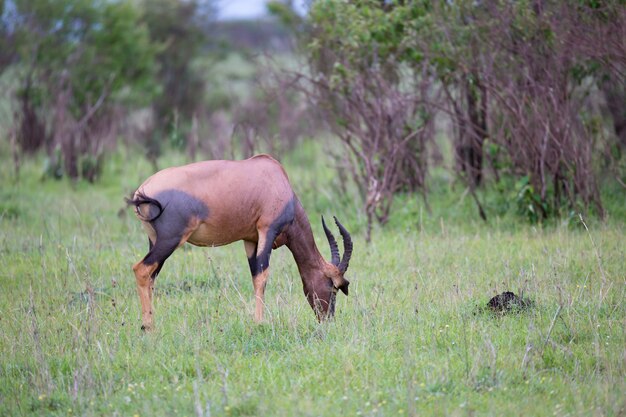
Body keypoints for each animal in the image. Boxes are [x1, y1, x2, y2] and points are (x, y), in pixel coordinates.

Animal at [127, 153, 352, 328]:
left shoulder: (250, 240)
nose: (327, 320)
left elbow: (254, 275)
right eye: (333, 287)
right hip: (170, 240)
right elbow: (262, 276)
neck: (276, 178)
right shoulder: (267, 230)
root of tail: (143, 189)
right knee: (142, 269)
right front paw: (259, 323)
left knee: (151, 277)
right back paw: (148, 328)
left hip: (154, 240)